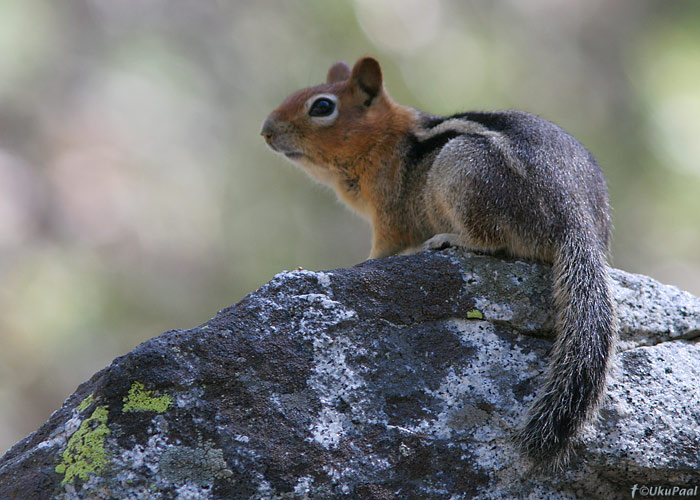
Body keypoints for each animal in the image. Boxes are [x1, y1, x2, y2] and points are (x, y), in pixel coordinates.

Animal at [262, 55, 616, 464]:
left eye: (321, 107)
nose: (265, 131)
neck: (384, 139)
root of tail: (573, 214)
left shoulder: (388, 216)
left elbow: (383, 248)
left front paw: (358, 265)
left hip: (461, 171)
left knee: (491, 242)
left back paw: (448, 238)